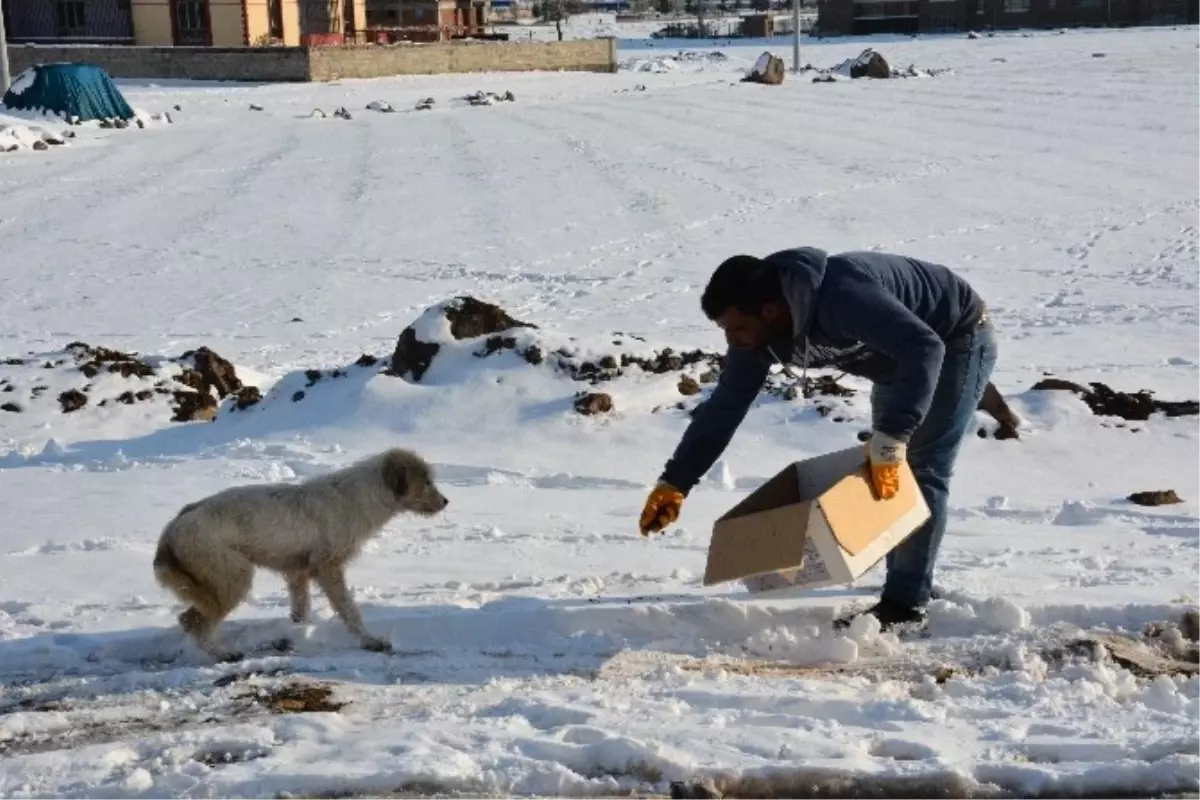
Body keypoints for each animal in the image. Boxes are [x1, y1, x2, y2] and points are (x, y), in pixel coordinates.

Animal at [152, 448, 448, 662]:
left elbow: (300, 607)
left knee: (191, 620)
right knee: (193, 622)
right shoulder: (328, 567)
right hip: (233, 577)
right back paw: (224, 654)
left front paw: (298, 631)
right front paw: (370, 641)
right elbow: (349, 610)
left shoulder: (298, 571)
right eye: (426, 482)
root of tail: (173, 528)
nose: (446, 502)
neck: (363, 496)